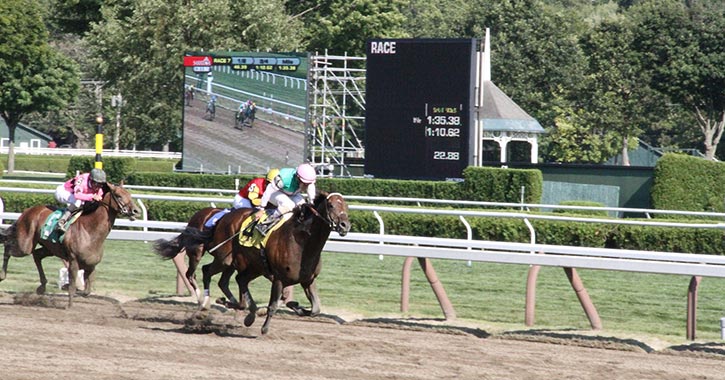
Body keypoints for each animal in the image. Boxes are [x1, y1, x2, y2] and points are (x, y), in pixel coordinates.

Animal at [0, 183, 140, 308]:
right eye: (118, 196)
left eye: (129, 194)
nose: (136, 211)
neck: (90, 231)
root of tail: (28, 210)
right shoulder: (73, 261)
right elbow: (73, 285)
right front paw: (69, 305)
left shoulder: (91, 265)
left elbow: (86, 291)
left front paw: (72, 289)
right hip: (25, 245)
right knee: (8, 247)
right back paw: (2, 275)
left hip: (50, 248)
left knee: (37, 255)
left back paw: (42, 286)